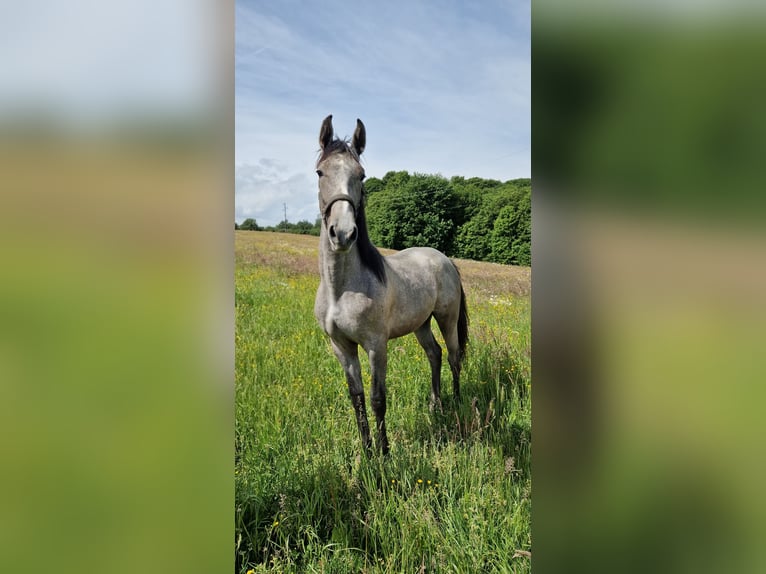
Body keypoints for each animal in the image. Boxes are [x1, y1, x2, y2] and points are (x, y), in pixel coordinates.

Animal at [313, 115, 469, 455]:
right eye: (320, 172)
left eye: (361, 175)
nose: (342, 233)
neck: (341, 290)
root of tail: (445, 259)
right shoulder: (341, 347)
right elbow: (357, 398)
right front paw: (366, 451)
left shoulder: (376, 345)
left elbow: (377, 399)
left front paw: (384, 454)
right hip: (421, 323)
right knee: (435, 354)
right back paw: (435, 404)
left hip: (446, 318)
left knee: (453, 356)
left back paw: (457, 402)